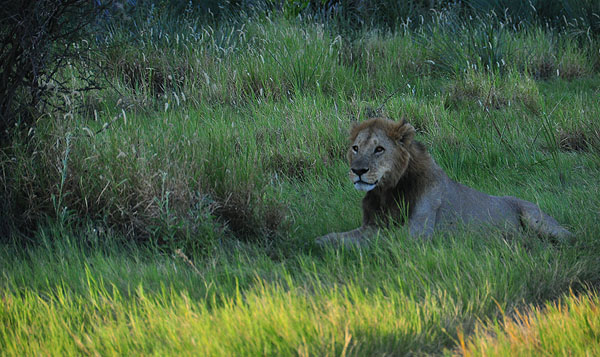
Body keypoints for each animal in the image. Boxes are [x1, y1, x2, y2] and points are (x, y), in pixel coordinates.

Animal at [314, 118, 572, 246]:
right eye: (355, 148)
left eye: (379, 149)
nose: (358, 171)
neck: (386, 192)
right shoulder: (372, 223)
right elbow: (345, 236)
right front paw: (320, 241)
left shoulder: (415, 234)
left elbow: (373, 240)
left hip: (538, 219)